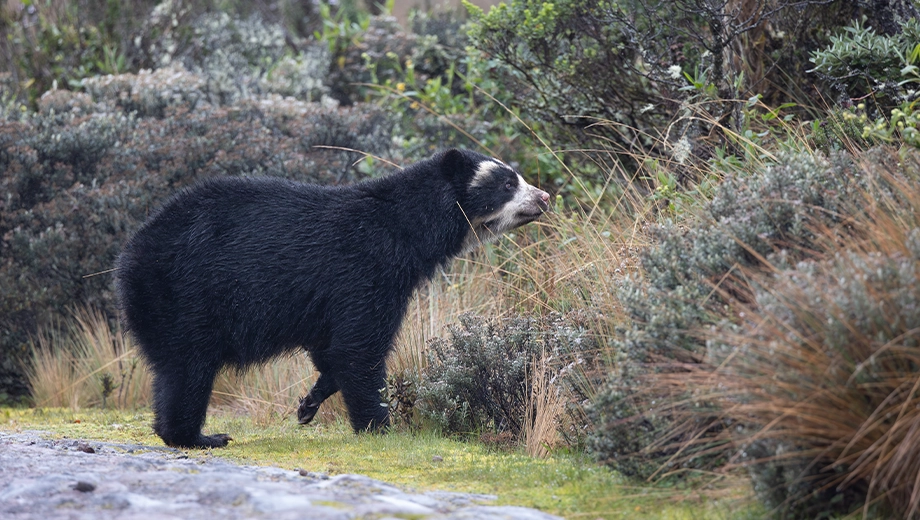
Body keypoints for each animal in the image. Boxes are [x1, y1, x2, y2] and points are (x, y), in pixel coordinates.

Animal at [114, 148, 548, 448]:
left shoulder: (336, 295)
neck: (407, 231)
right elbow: (359, 348)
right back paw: (198, 436)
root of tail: (131, 252)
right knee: (189, 366)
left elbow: (332, 349)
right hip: (186, 293)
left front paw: (309, 403)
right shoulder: (365, 270)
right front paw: (379, 425)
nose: (544, 197)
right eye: (508, 183)